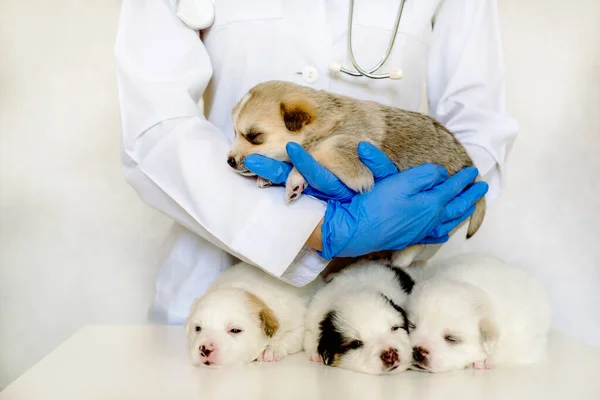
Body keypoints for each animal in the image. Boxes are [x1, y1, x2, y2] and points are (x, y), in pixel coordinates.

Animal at [184, 260, 324, 368]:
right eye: (197, 328)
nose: (205, 349)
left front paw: (271, 350)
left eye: (235, 330)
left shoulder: (297, 325)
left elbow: (290, 338)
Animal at [227, 80, 486, 268]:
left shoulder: (352, 159)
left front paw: (292, 176)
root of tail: (472, 168)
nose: (229, 161)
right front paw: (270, 176)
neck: (327, 123)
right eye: (235, 132)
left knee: (416, 243)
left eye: (254, 136)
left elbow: (315, 152)